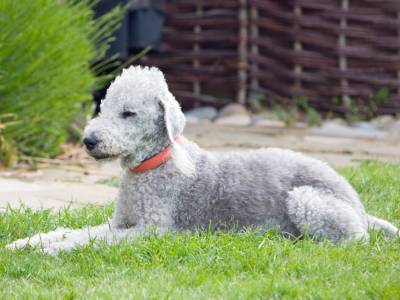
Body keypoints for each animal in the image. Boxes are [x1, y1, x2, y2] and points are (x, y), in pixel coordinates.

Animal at [7, 65, 398, 253]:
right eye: (102, 107)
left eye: (129, 113)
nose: (89, 141)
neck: (152, 164)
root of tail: (358, 204)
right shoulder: (121, 223)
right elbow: (75, 231)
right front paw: (25, 243)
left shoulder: (152, 230)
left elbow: (89, 240)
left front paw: (53, 250)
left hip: (307, 199)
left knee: (354, 240)